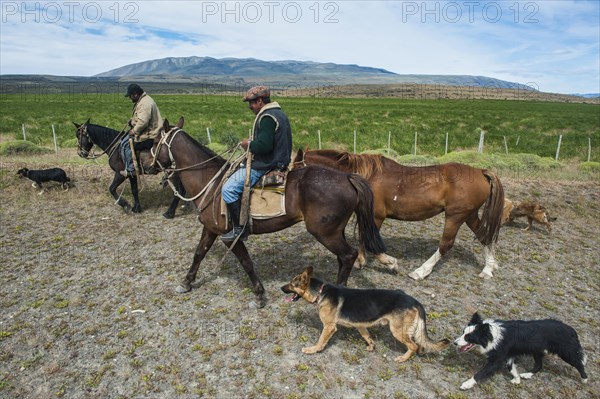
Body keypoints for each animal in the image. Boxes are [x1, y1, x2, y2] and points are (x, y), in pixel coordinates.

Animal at [152, 119, 386, 310]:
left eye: (154, 142)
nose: (149, 166)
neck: (211, 182)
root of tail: (347, 177)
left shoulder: (231, 237)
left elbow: (246, 263)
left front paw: (259, 295)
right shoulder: (210, 228)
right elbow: (199, 253)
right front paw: (186, 282)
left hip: (325, 233)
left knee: (348, 255)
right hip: (335, 232)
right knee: (342, 258)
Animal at [282, 268, 450, 362]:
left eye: (291, 284)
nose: (280, 288)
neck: (321, 292)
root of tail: (415, 301)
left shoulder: (329, 327)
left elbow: (321, 340)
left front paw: (313, 350)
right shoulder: (360, 325)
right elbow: (367, 337)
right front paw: (371, 346)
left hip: (398, 331)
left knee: (413, 345)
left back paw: (403, 358)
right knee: (419, 344)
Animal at [292, 149, 504, 282]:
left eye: (294, 169)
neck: (365, 176)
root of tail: (481, 172)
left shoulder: (376, 217)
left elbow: (369, 241)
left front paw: (389, 263)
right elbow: (362, 239)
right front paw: (361, 260)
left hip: (455, 216)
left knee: (446, 245)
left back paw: (420, 271)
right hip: (469, 215)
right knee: (485, 237)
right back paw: (489, 268)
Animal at [454, 312, 584, 390]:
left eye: (469, 337)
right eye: (463, 332)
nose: (454, 343)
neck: (492, 335)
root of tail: (572, 330)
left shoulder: (497, 358)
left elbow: (481, 373)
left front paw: (467, 384)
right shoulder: (509, 356)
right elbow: (511, 368)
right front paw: (517, 380)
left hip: (566, 352)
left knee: (579, 363)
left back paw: (584, 379)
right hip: (537, 351)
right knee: (539, 365)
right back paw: (527, 374)